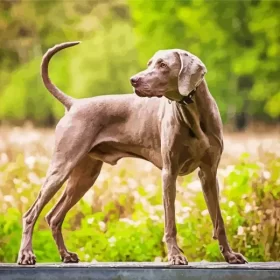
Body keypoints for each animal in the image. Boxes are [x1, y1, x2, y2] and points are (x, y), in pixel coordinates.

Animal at [17, 41, 247, 264]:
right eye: (149, 63)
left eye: (163, 65)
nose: (133, 80)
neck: (193, 112)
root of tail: (74, 103)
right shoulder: (169, 173)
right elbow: (170, 222)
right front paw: (175, 255)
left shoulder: (209, 172)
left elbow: (219, 220)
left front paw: (230, 255)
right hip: (62, 166)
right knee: (31, 214)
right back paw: (26, 255)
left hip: (84, 176)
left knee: (54, 217)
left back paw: (66, 255)